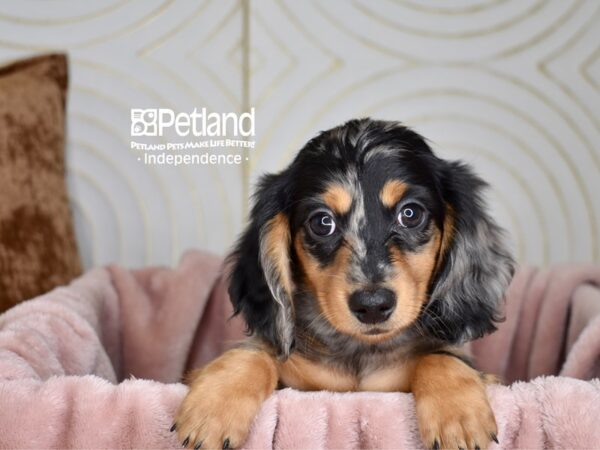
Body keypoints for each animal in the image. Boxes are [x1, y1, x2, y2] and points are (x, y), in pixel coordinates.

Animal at [173, 118, 516, 450]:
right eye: (322, 222)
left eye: (411, 213)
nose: (373, 305)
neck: (359, 353)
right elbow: (254, 353)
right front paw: (212, 408)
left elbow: (440, 357)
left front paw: (457, 416)